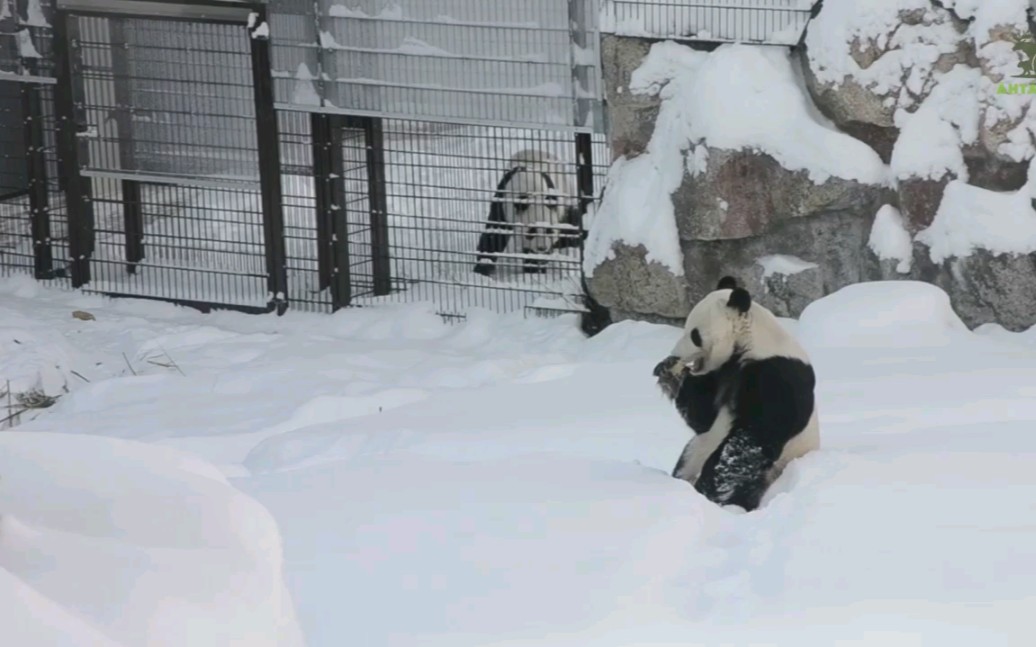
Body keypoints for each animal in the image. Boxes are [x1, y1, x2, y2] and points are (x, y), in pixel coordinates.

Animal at [650, 275, 820, 511]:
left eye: (694, 335)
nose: (675, 354)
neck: (749, 343)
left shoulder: (778, 375)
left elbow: (754, 436)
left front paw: (709, 489)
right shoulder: (721, 373)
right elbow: (702, 419)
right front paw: (668, 370)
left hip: (776, 467)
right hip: (697, 450)